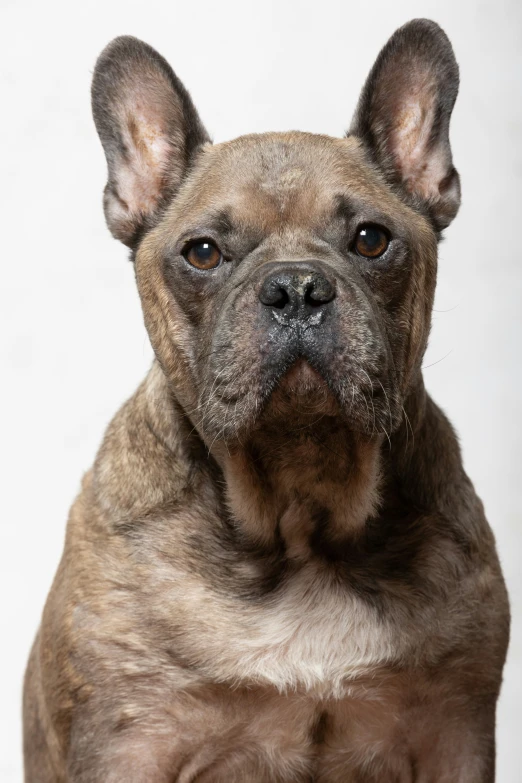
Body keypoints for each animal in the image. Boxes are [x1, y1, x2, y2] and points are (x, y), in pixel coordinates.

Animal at [23, 19, 508, 783]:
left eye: (372, 240)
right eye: (202, 253)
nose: (297, 288)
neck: (300, 513)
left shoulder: (452, 734)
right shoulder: (130, 741)